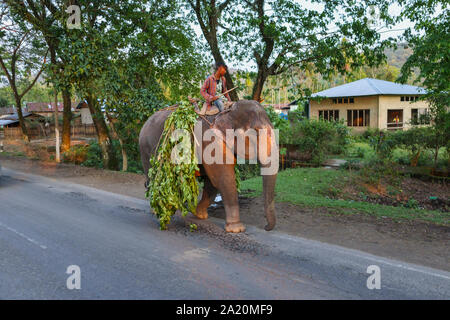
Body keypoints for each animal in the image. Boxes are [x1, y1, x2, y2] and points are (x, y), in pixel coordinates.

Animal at [139, 100, 278, 232]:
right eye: (256, 132)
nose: (266, 227)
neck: (228, 110)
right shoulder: (211, 141)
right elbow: (223, 178)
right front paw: (236, 229)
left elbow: (212, 182)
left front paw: (198, 214)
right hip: (148, 151)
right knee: (153, 179)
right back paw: (159, 210)